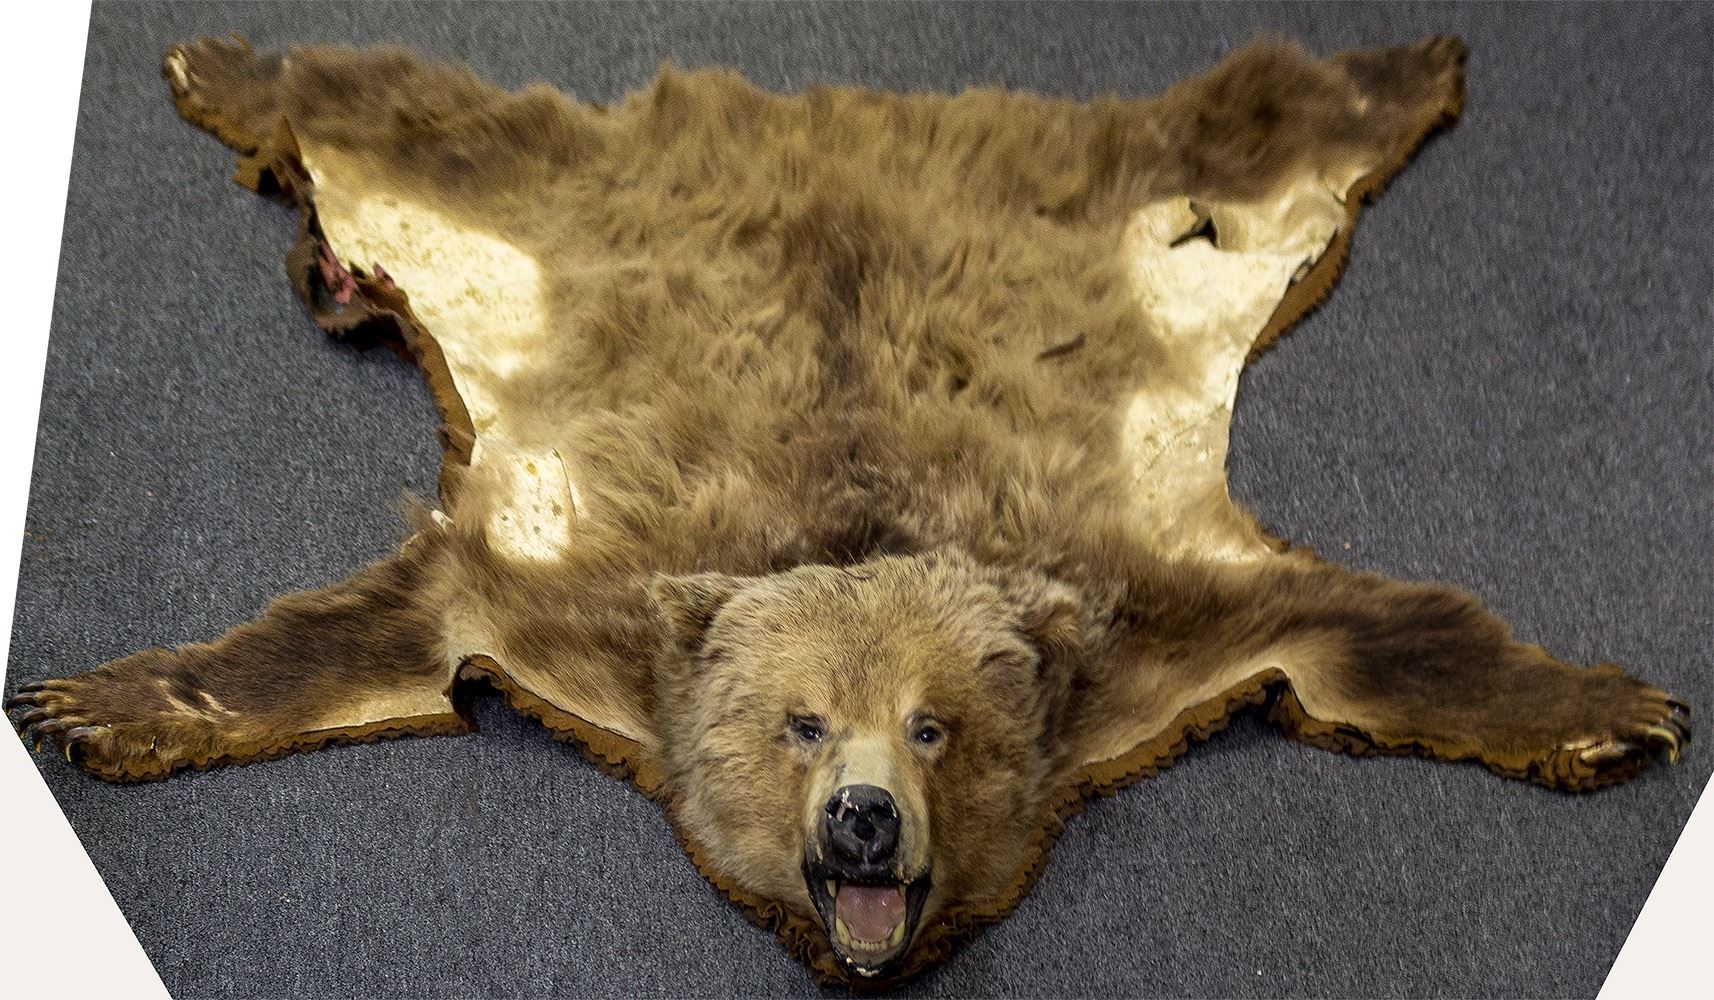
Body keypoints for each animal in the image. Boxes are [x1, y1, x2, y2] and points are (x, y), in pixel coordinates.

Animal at [7, 33, 1691, 984]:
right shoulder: (562, 589)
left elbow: (1367, 628)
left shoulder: (1160, 608)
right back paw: (223, 67)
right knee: (421, 118)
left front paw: (1614, 710)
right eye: (799, 722)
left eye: (937, 724)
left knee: (1250, 122)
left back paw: (1408, 62)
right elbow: (372, 636)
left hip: (1129, 198)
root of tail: (833, 106)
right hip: (540, 193)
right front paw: (100, 699)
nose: (863, 819)